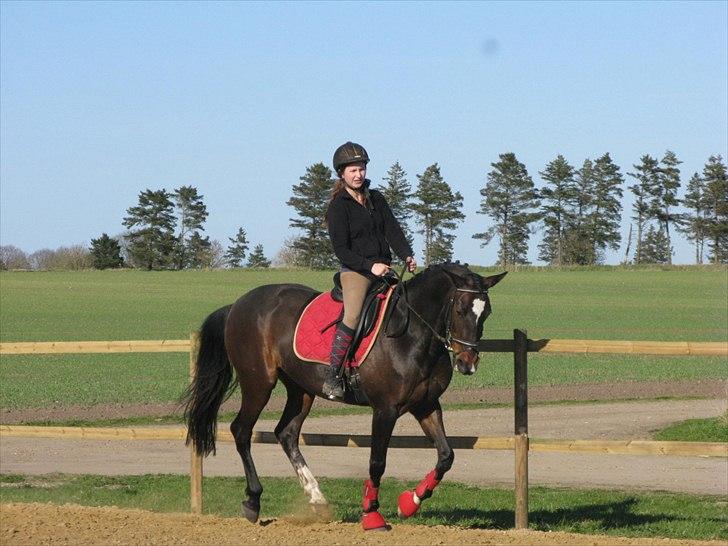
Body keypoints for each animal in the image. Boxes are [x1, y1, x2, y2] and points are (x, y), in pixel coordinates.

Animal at [182, 262, 506, 528]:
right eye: (461, 309)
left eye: (486, 312)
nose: (467, 363)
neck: (413, 335)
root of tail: (238, 304)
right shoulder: (385, 409)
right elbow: (377, 461)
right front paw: (372, 514)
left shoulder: (426, 405)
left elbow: (446, 456)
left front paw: (409, 503)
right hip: (259, 383)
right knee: (241, 431)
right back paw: (253, 501)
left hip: (301, 390)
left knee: (286, 433)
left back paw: (318, 501)